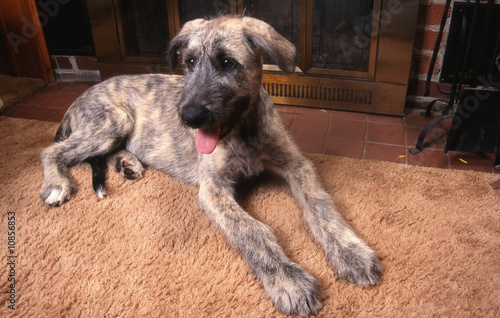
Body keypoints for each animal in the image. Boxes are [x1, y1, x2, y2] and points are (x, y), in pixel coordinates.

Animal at [41, 15, 380, 316]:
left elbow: (319, 206)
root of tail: (79, 99)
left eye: (228, 63)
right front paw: (287, 279)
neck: (243, 133)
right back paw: (56, 183)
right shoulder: (213, 189)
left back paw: (127, 163)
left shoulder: (297, 165)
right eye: (189, 62)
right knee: (51, 150)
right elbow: (251, 230)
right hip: (114, 121)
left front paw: (350, 252)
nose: (188, 117)